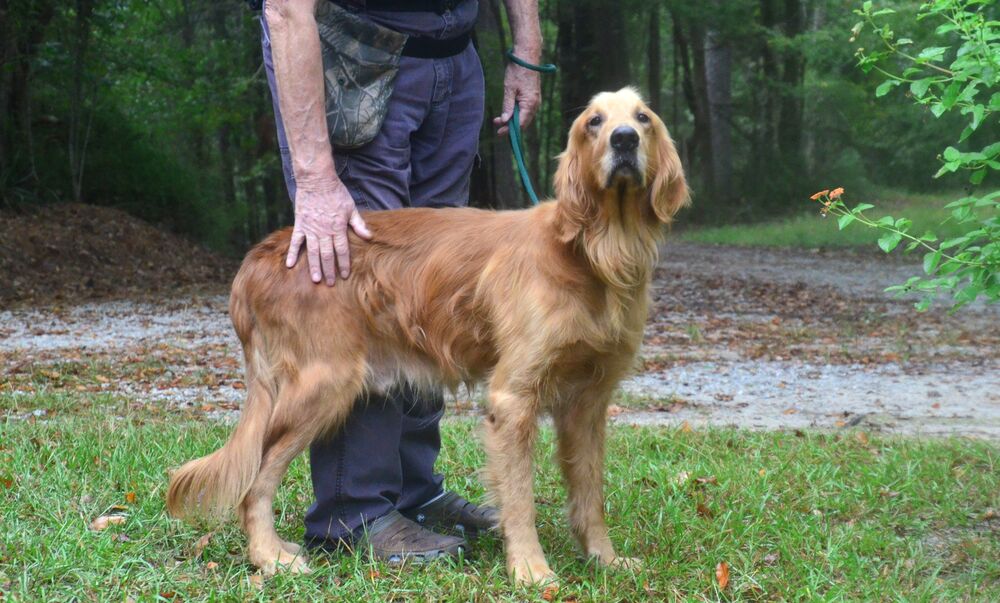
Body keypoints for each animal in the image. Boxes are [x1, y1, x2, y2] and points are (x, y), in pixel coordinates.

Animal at [168, 86, 692, 584]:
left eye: (643, 118)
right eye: (594, 122)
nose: (624, 139)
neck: (594, 252)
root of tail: (264, 254)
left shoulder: (587, 403)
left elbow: (589, 496)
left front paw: (605, 560)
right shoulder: (513, 398)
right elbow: (519, 499)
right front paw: (530, 569)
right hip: (324, 386)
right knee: (255, 481)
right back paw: (270, 557)